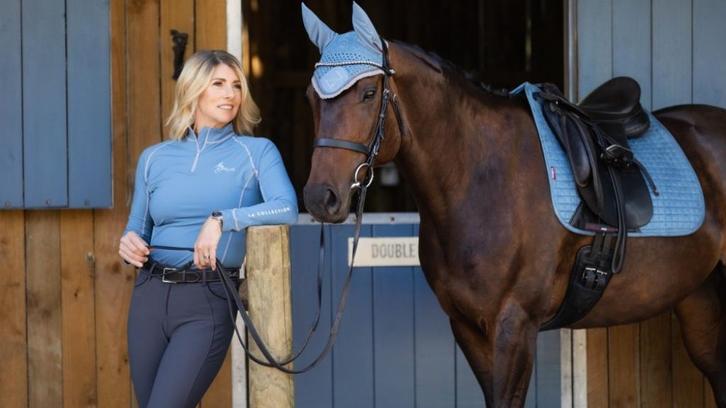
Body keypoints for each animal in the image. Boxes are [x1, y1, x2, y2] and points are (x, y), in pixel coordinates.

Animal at [300, 3, 726, 406]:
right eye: (311, 98)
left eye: (369, 94)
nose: (321, 198)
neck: (480, 178)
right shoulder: (467, 326)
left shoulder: (515, 325)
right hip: (702, 297)